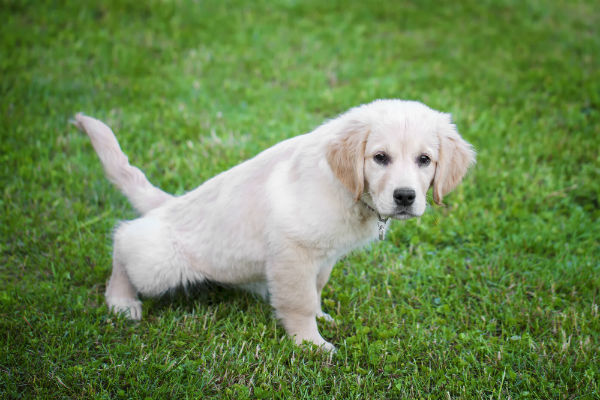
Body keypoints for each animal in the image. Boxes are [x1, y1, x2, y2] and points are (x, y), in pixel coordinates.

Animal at [75, 99, 476, 350]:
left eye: (424, 160)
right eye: (380, 158)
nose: (405, 197)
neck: (346, 188)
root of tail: (168, 204)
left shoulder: (323, 256)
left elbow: (316, 288)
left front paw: (321, 317)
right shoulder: (292, 250)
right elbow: (299, 300)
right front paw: (311, 344)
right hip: (161, 263)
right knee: (124, 240)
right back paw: (121, 301)